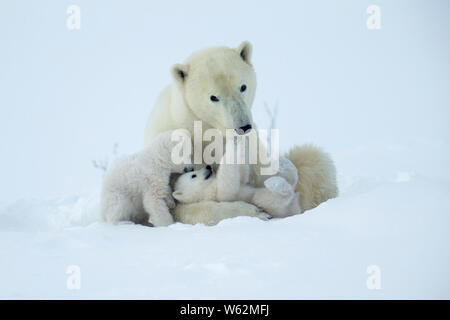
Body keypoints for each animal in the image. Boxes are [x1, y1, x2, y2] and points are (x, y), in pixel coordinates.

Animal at [144, 41, 338, 219]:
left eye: (243, 86)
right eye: (214, 97)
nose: (243, 126)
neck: (204, 127)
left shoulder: (252, 148)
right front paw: (251, 210)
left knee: (313, 160)